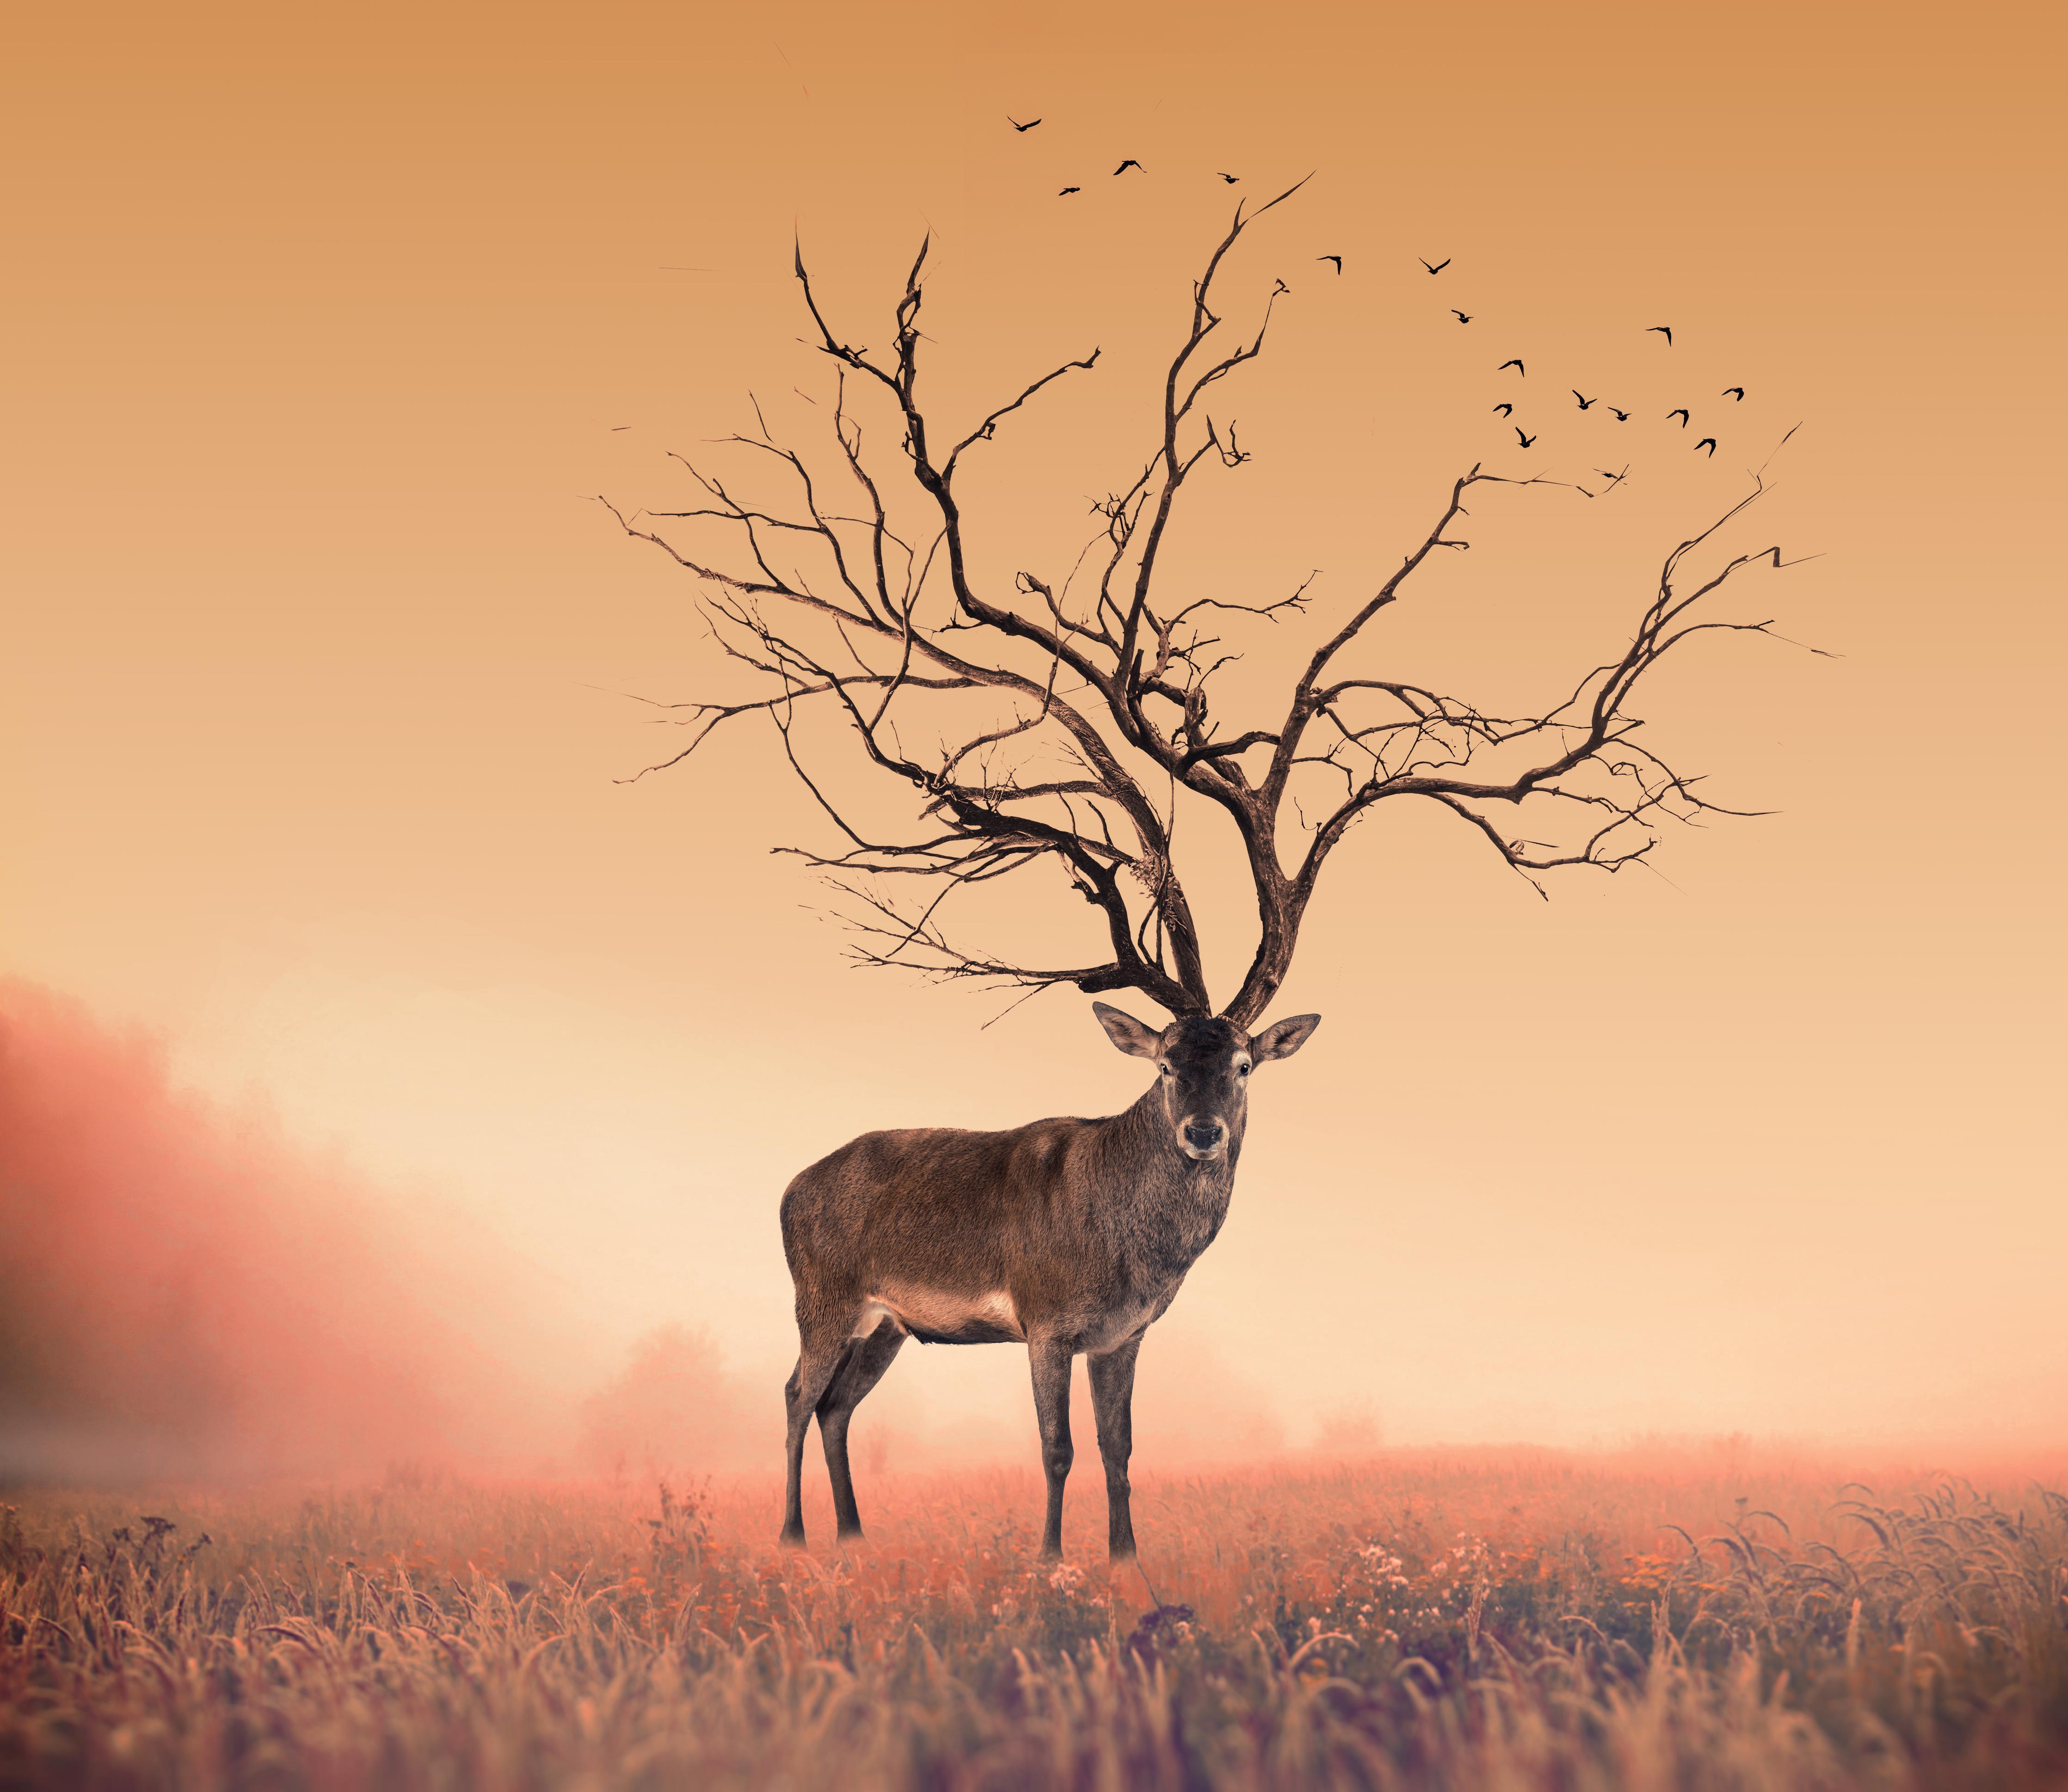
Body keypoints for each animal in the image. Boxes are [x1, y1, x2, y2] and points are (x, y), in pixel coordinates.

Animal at [779, 1001, 1320, 1557]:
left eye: (1243, 1065)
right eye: (1165, 1066)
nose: (1204, 1132)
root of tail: (790, 1190)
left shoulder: (1122, 1336)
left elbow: (1118, 1448)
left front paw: (1125, 1556)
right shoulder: (1045, 1320)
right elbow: (1057, 1447)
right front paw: (1049, 1556)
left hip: (886, 1326)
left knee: (835, 1405)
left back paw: (852, 1534)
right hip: (821, 1298)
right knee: (797, 1394)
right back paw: (793, 1535)